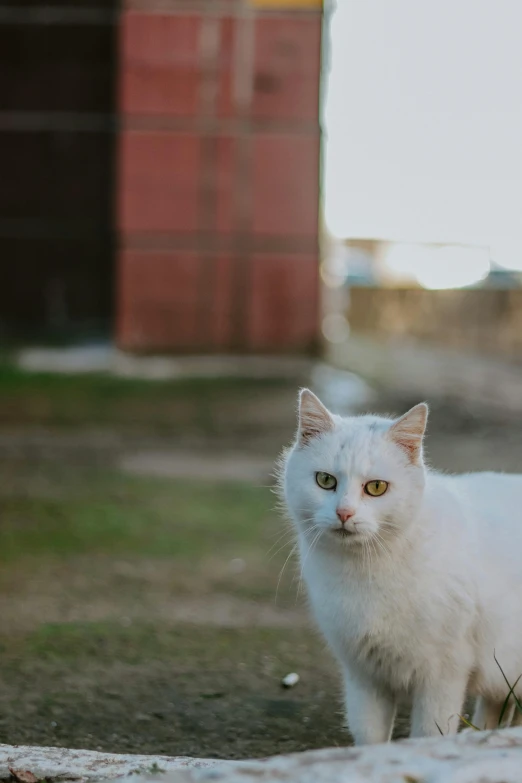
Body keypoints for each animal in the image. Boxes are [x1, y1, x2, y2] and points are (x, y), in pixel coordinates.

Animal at [278, 388, 520, 744]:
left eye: (376, 487)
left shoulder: (443, 675)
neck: (364, 571)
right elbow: (370, 737)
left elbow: (428, 734)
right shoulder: (363, 675)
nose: (344, 513)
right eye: (325, 480)